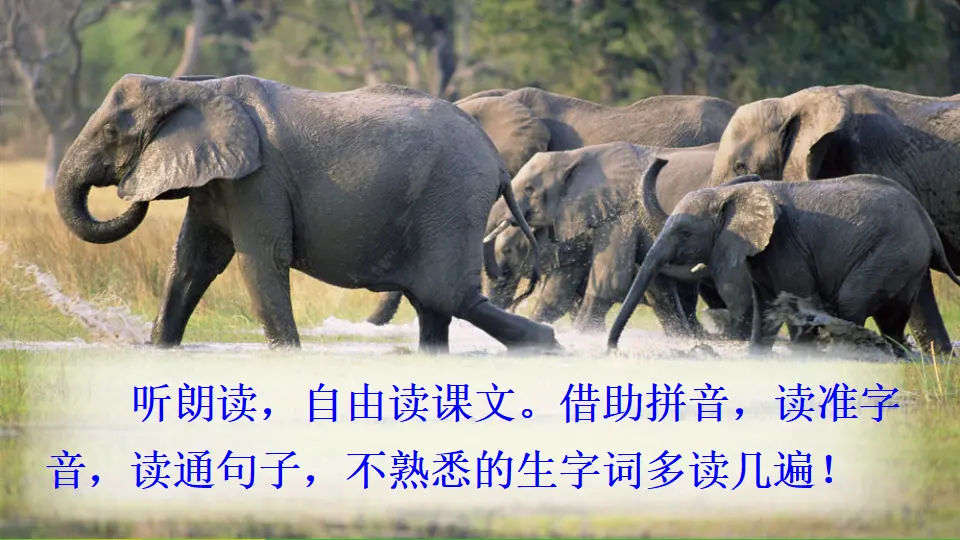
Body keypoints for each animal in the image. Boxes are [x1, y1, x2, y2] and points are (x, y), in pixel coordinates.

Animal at [54, 73, 560, 354]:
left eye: (111, 131)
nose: (131, 195)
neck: (194, 89)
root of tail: (496, 161)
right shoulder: (222, 180)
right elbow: (193, 262)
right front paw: (159, 351)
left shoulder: (259, 180)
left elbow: (259, 262)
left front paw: (288, 357)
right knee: (435, 305)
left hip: (452, 198)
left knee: (448, 295)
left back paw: (547, 345)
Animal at [482, 142, 758, 338]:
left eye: (529, 189)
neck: (575, 156)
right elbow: (559, 292)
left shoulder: (621, 216)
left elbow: (610, 283)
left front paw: (585, 337)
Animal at [608, 165, 960, 357]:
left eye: (684, 232)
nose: (612, 349)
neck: (733, 194)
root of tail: (927, 225)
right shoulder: (761, 254)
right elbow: (765, 306)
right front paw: (757, 356)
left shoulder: (785, 245)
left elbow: (796, 300)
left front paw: (801, 356)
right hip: (906, 260)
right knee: (893, 319)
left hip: (891, 251)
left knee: (852, 302)